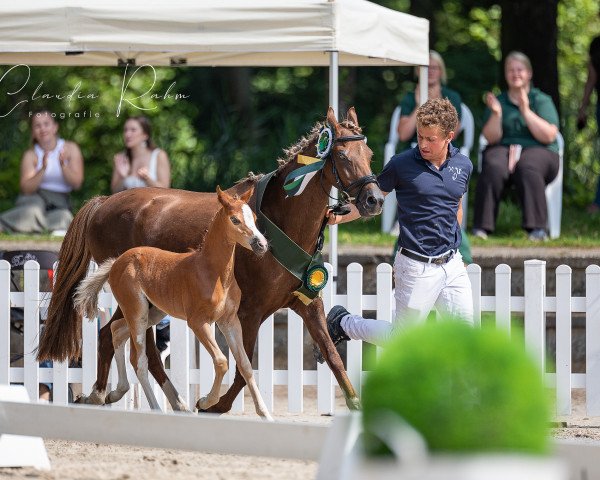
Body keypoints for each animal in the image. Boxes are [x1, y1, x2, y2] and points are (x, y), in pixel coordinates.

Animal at [75, 188, 272, 420]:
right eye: (235, 219)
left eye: (255, 218)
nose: (261, 245)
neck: (212, 272)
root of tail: (117, 262)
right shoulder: (198, 323)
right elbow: (222, 361)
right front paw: (205, 401)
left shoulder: (229, 321)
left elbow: (245, 365)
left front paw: (265, 414)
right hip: (137, 312)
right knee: (139, 360)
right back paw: (154, 407)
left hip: (153, 313)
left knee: (116, 330)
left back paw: (116, 392)